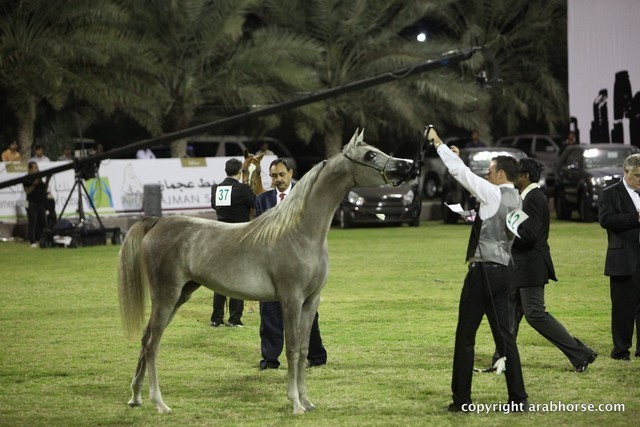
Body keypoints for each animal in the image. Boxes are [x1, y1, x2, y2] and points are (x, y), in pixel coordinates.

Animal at [117, 129, 414, 414]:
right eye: (370, 155)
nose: (407, 166)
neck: (300, 232)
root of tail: (157, 223)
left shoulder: (311, 301)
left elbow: (303, 350)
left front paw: (307, 402)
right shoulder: (291, 299)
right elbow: (292, 349)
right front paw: (295, 404)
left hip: (181, 295)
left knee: (145, 339)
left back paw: (135, 397)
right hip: (166, 296)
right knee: (152, 344)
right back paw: (159, 403)